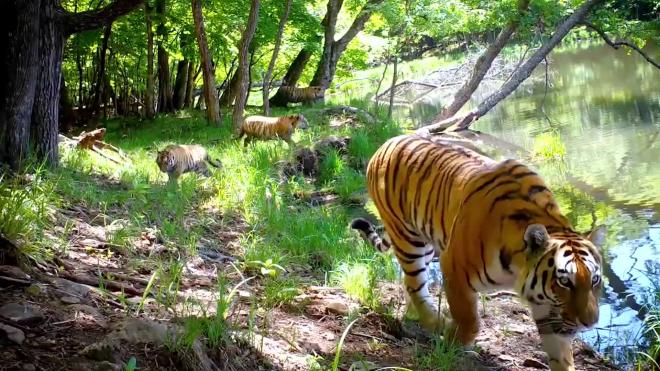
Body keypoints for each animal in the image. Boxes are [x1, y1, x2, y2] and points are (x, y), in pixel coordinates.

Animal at [350, 134, 604, 371]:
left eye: (595, 280)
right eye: (564, 281)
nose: (590, 323)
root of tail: (387, 143)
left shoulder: (545, 302)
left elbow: (559, 351)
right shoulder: (453, 268)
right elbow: (470, 320)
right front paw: (452, 341)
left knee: (408, 283)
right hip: (408, 239)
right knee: (415, 285)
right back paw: (435, 322)